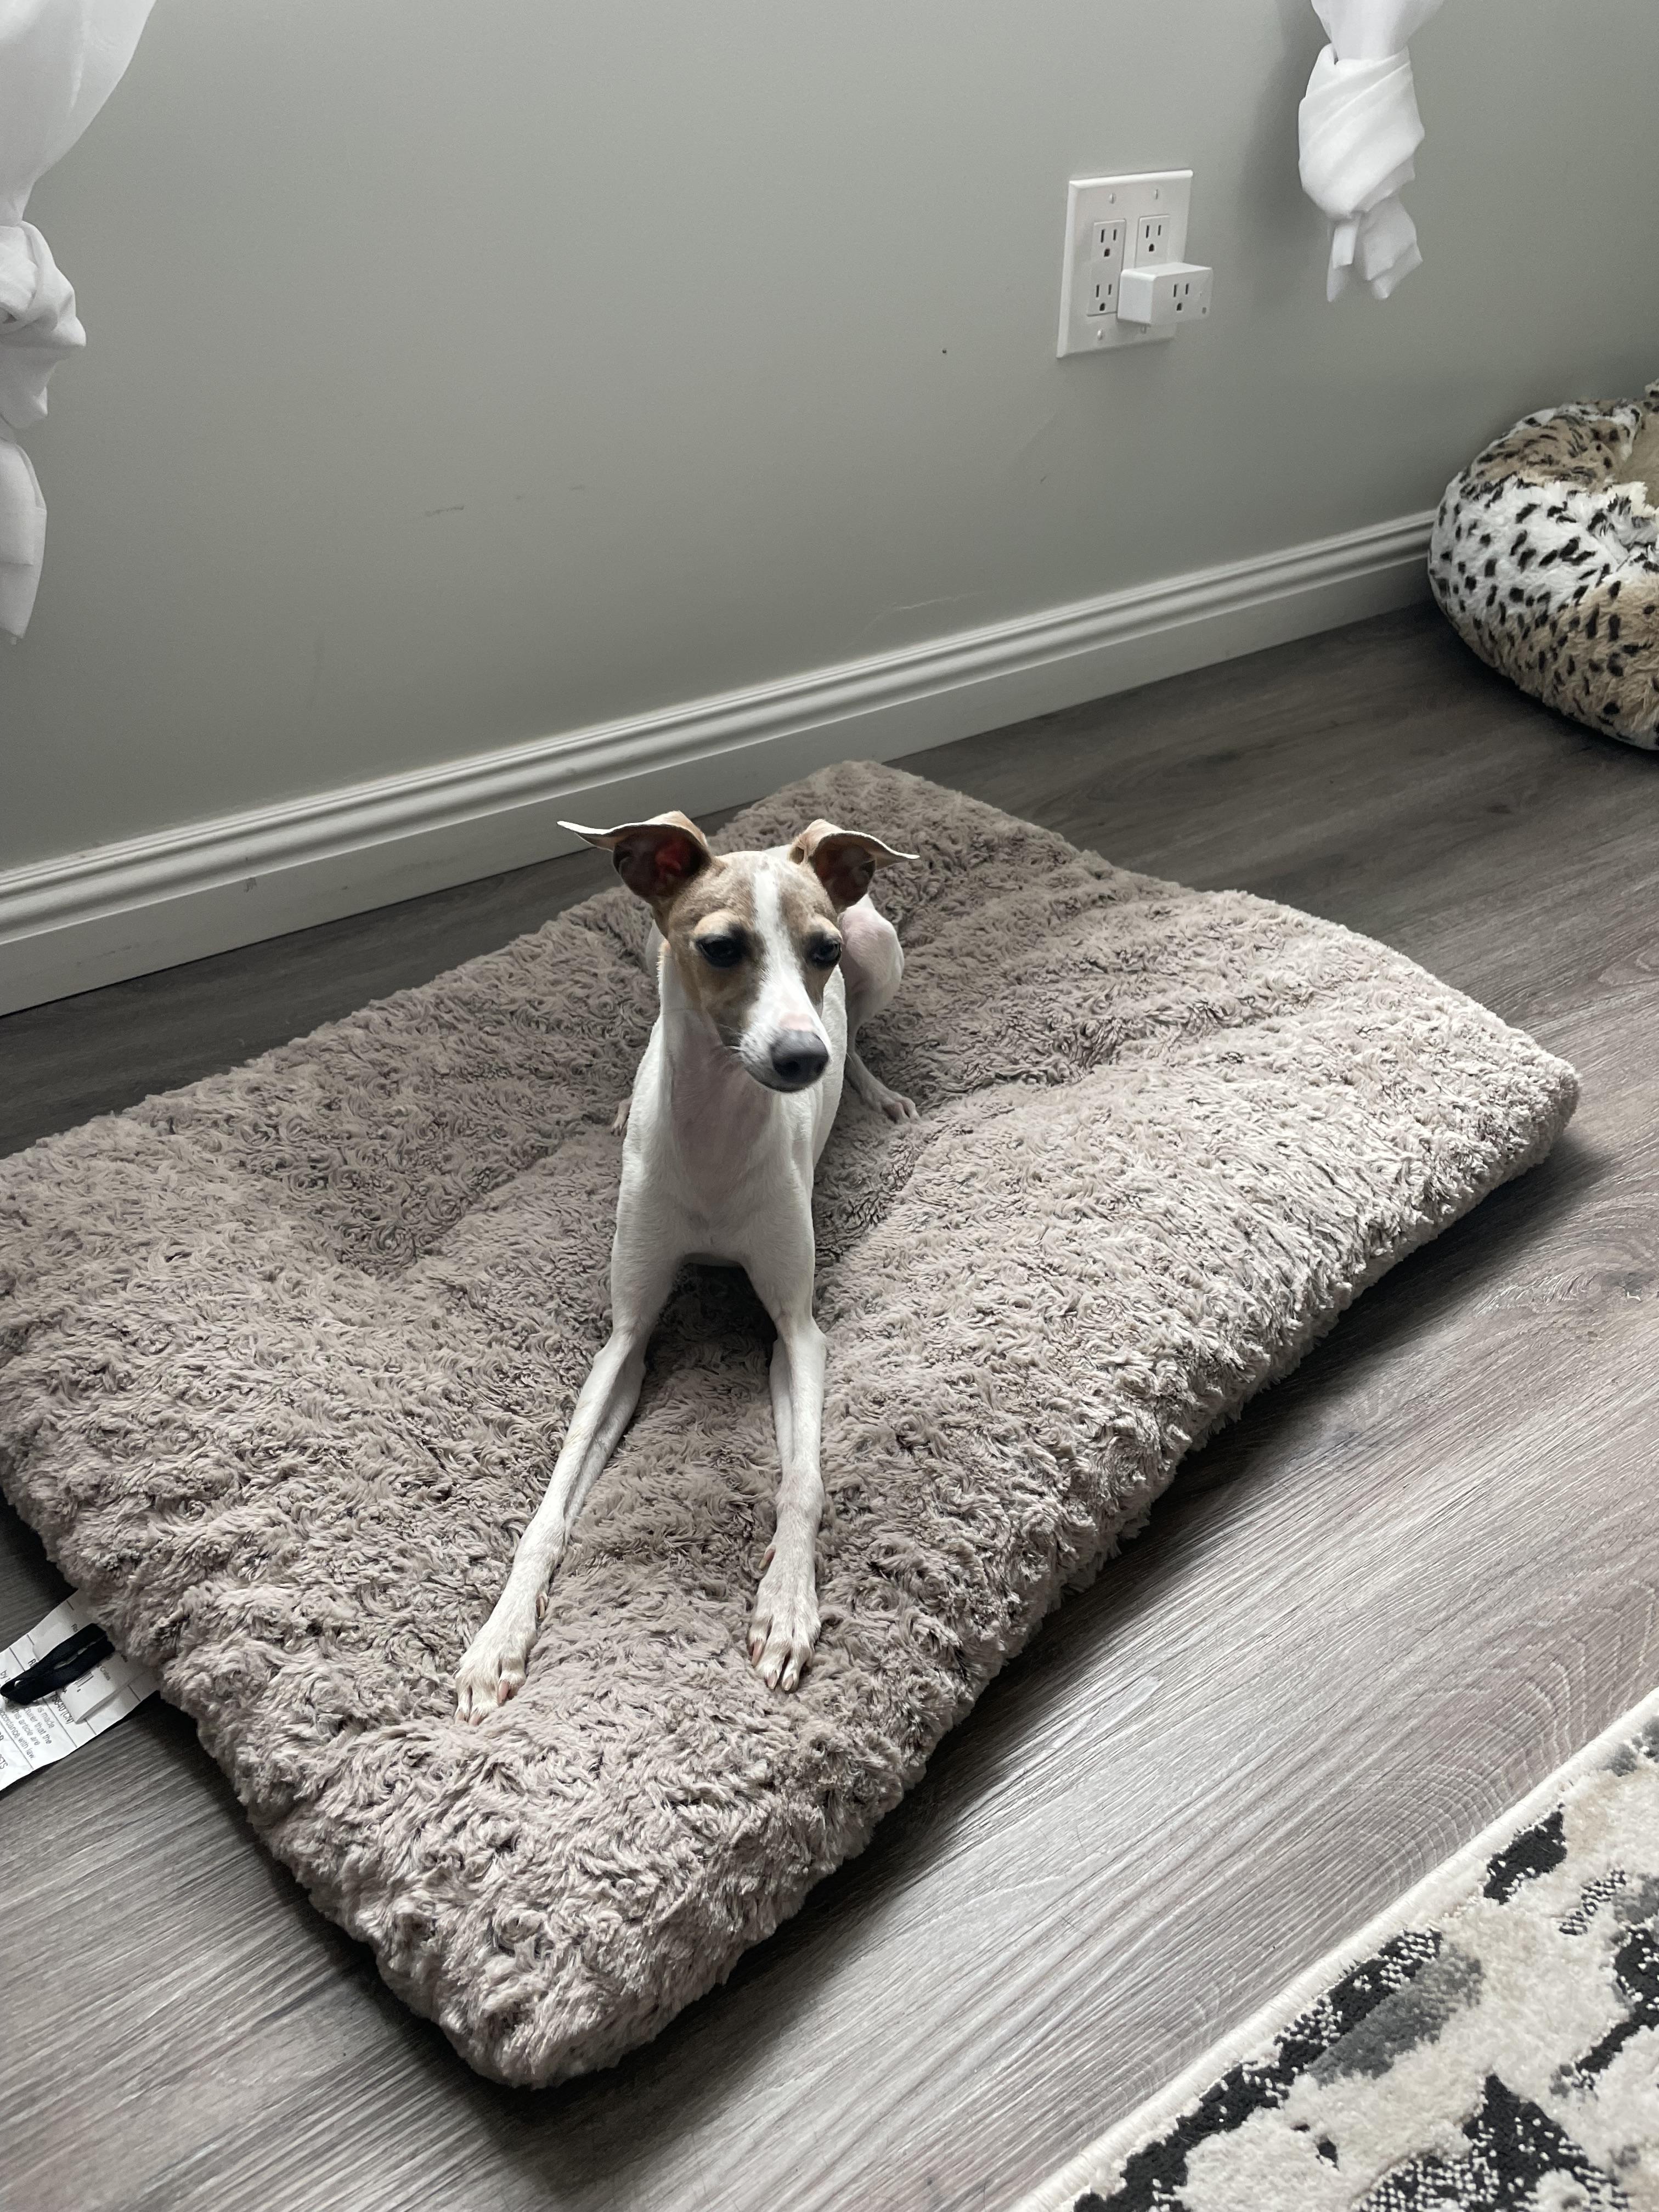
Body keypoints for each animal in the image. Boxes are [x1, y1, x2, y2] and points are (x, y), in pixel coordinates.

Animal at [454, 809, 917, 1721]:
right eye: (721, 947)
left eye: (821, 951)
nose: (804, 1058)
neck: (715, 1138)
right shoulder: (624, 1340)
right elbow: (551, 1507)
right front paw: (499, 1639)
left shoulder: (798, 1332)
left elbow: (803, 1482)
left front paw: (786, 1607)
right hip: (653, 949)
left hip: (881, 952)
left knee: (866, 1036)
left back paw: (874, 1092)